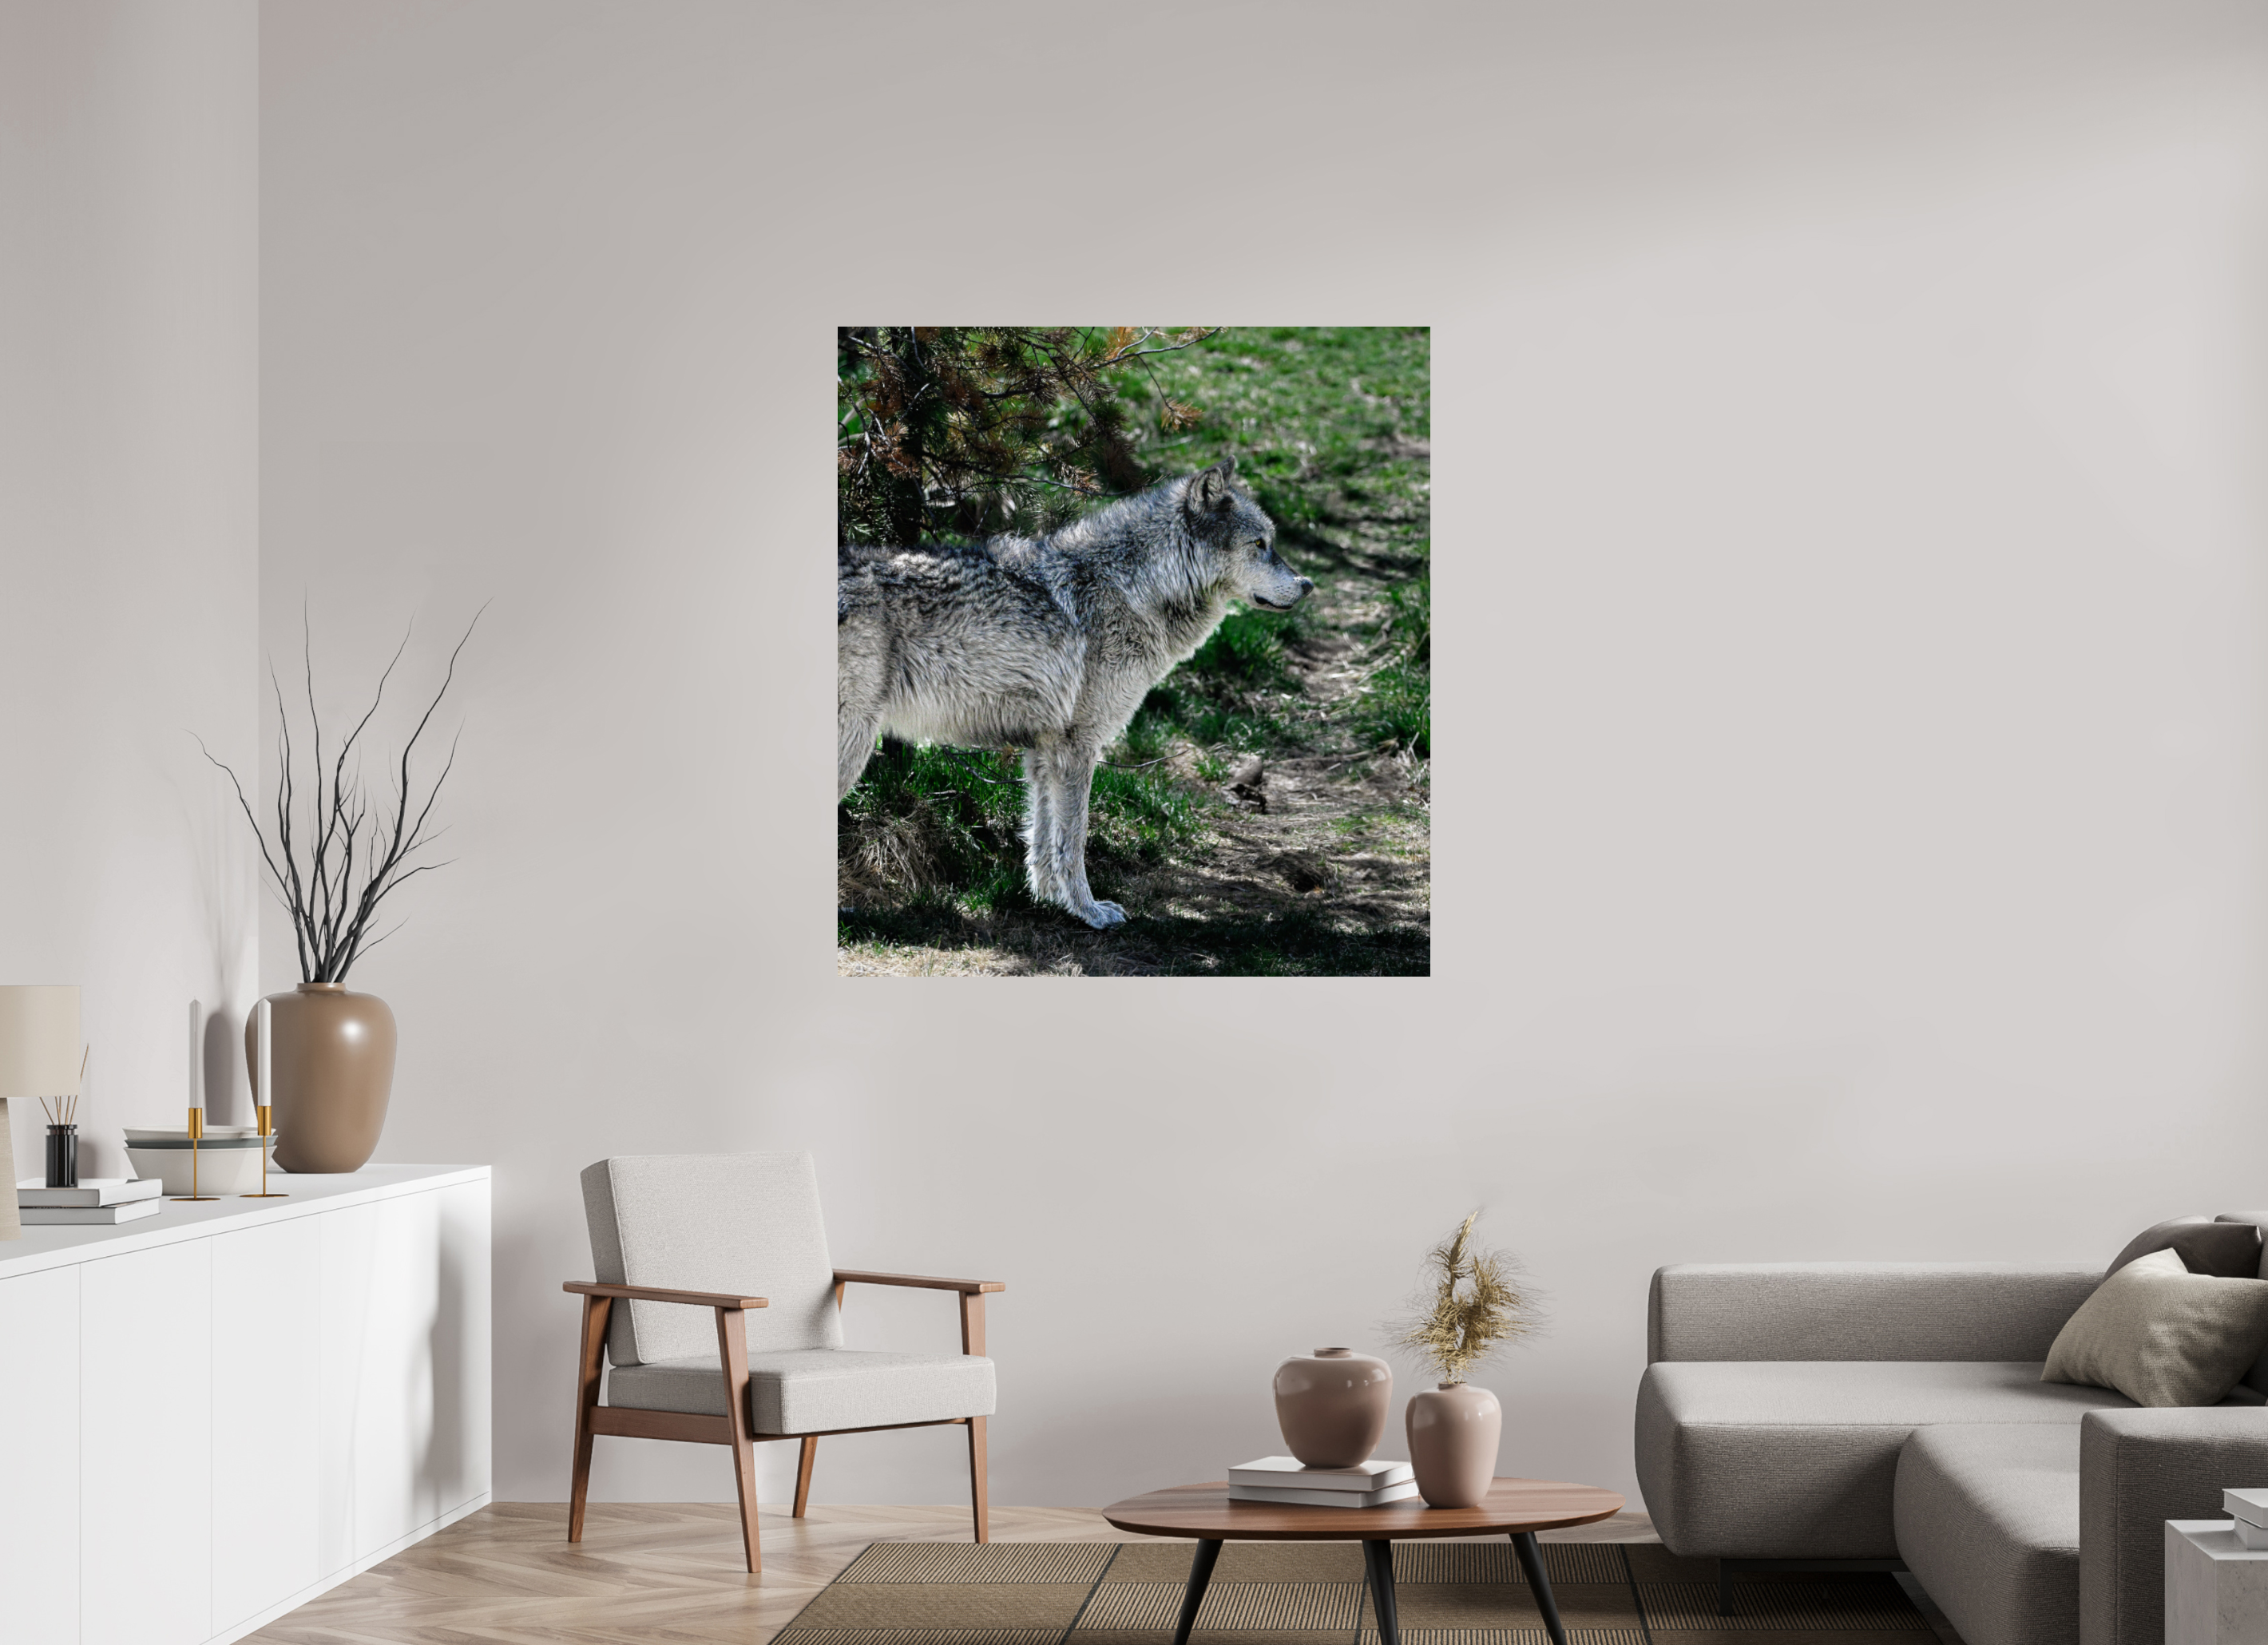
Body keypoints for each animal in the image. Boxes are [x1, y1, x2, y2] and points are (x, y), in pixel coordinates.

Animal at [838, 457, 1313, 928]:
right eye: (1259, 544)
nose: (1308, 584)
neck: (1135, 589)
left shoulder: (1045, 749)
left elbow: (1043, 839)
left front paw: (1051, 900)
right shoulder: (1079, 745)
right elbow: (1075, 839)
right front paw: (1089, 911)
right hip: (854, 745)